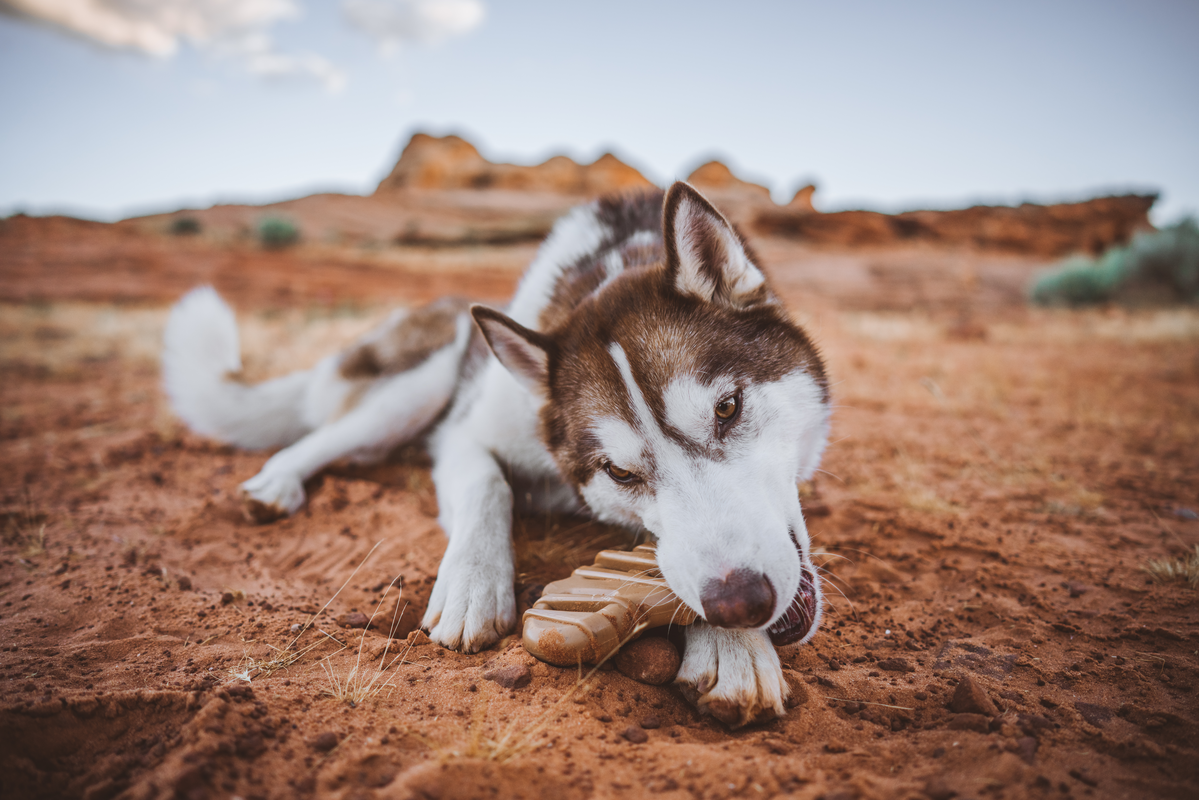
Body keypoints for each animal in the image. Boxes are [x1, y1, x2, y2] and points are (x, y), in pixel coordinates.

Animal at [164, 179, 829, 724]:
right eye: (619, 471)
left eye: (728, 409)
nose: (739, 605)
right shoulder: (467, 431)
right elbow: (490, 485)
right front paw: (472, 584)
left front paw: (732, 650)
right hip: (424, 382)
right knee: (320, 436)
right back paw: (276, 482)